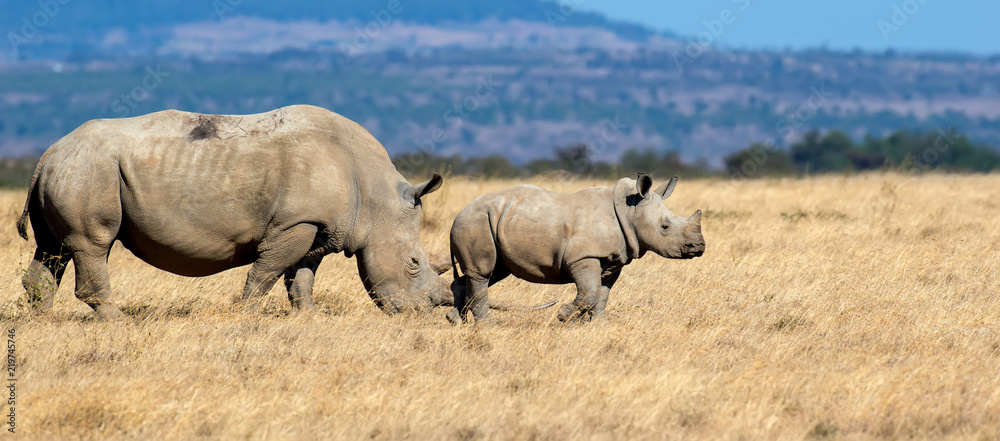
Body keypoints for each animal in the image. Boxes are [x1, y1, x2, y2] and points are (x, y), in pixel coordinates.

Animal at [16, 105, 460, 319]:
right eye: (414, 262)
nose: (422, 313)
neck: (375, 199)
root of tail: (51, 150)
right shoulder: (294, 223)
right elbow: (267, 272)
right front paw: (246, 312)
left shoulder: (318, 226)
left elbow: (301, 276)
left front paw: (308, 316)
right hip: (91, 169)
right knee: (91, 243)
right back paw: (118, 321)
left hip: (72, 168)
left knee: (51, 248)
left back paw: (41, 321)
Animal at [446, 173, 705, 324]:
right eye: (665, 226)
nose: (699, 247)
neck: (630, 210)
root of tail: (459, 214)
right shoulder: (583, 256)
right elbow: (590, 292)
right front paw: (563, 315)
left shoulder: (614, 259)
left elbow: (602, 293)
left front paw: (597, 325)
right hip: (475, 221)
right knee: (483, 272)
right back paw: (487, 326)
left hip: (491, 222)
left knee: (491, 272)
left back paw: (455, 321)